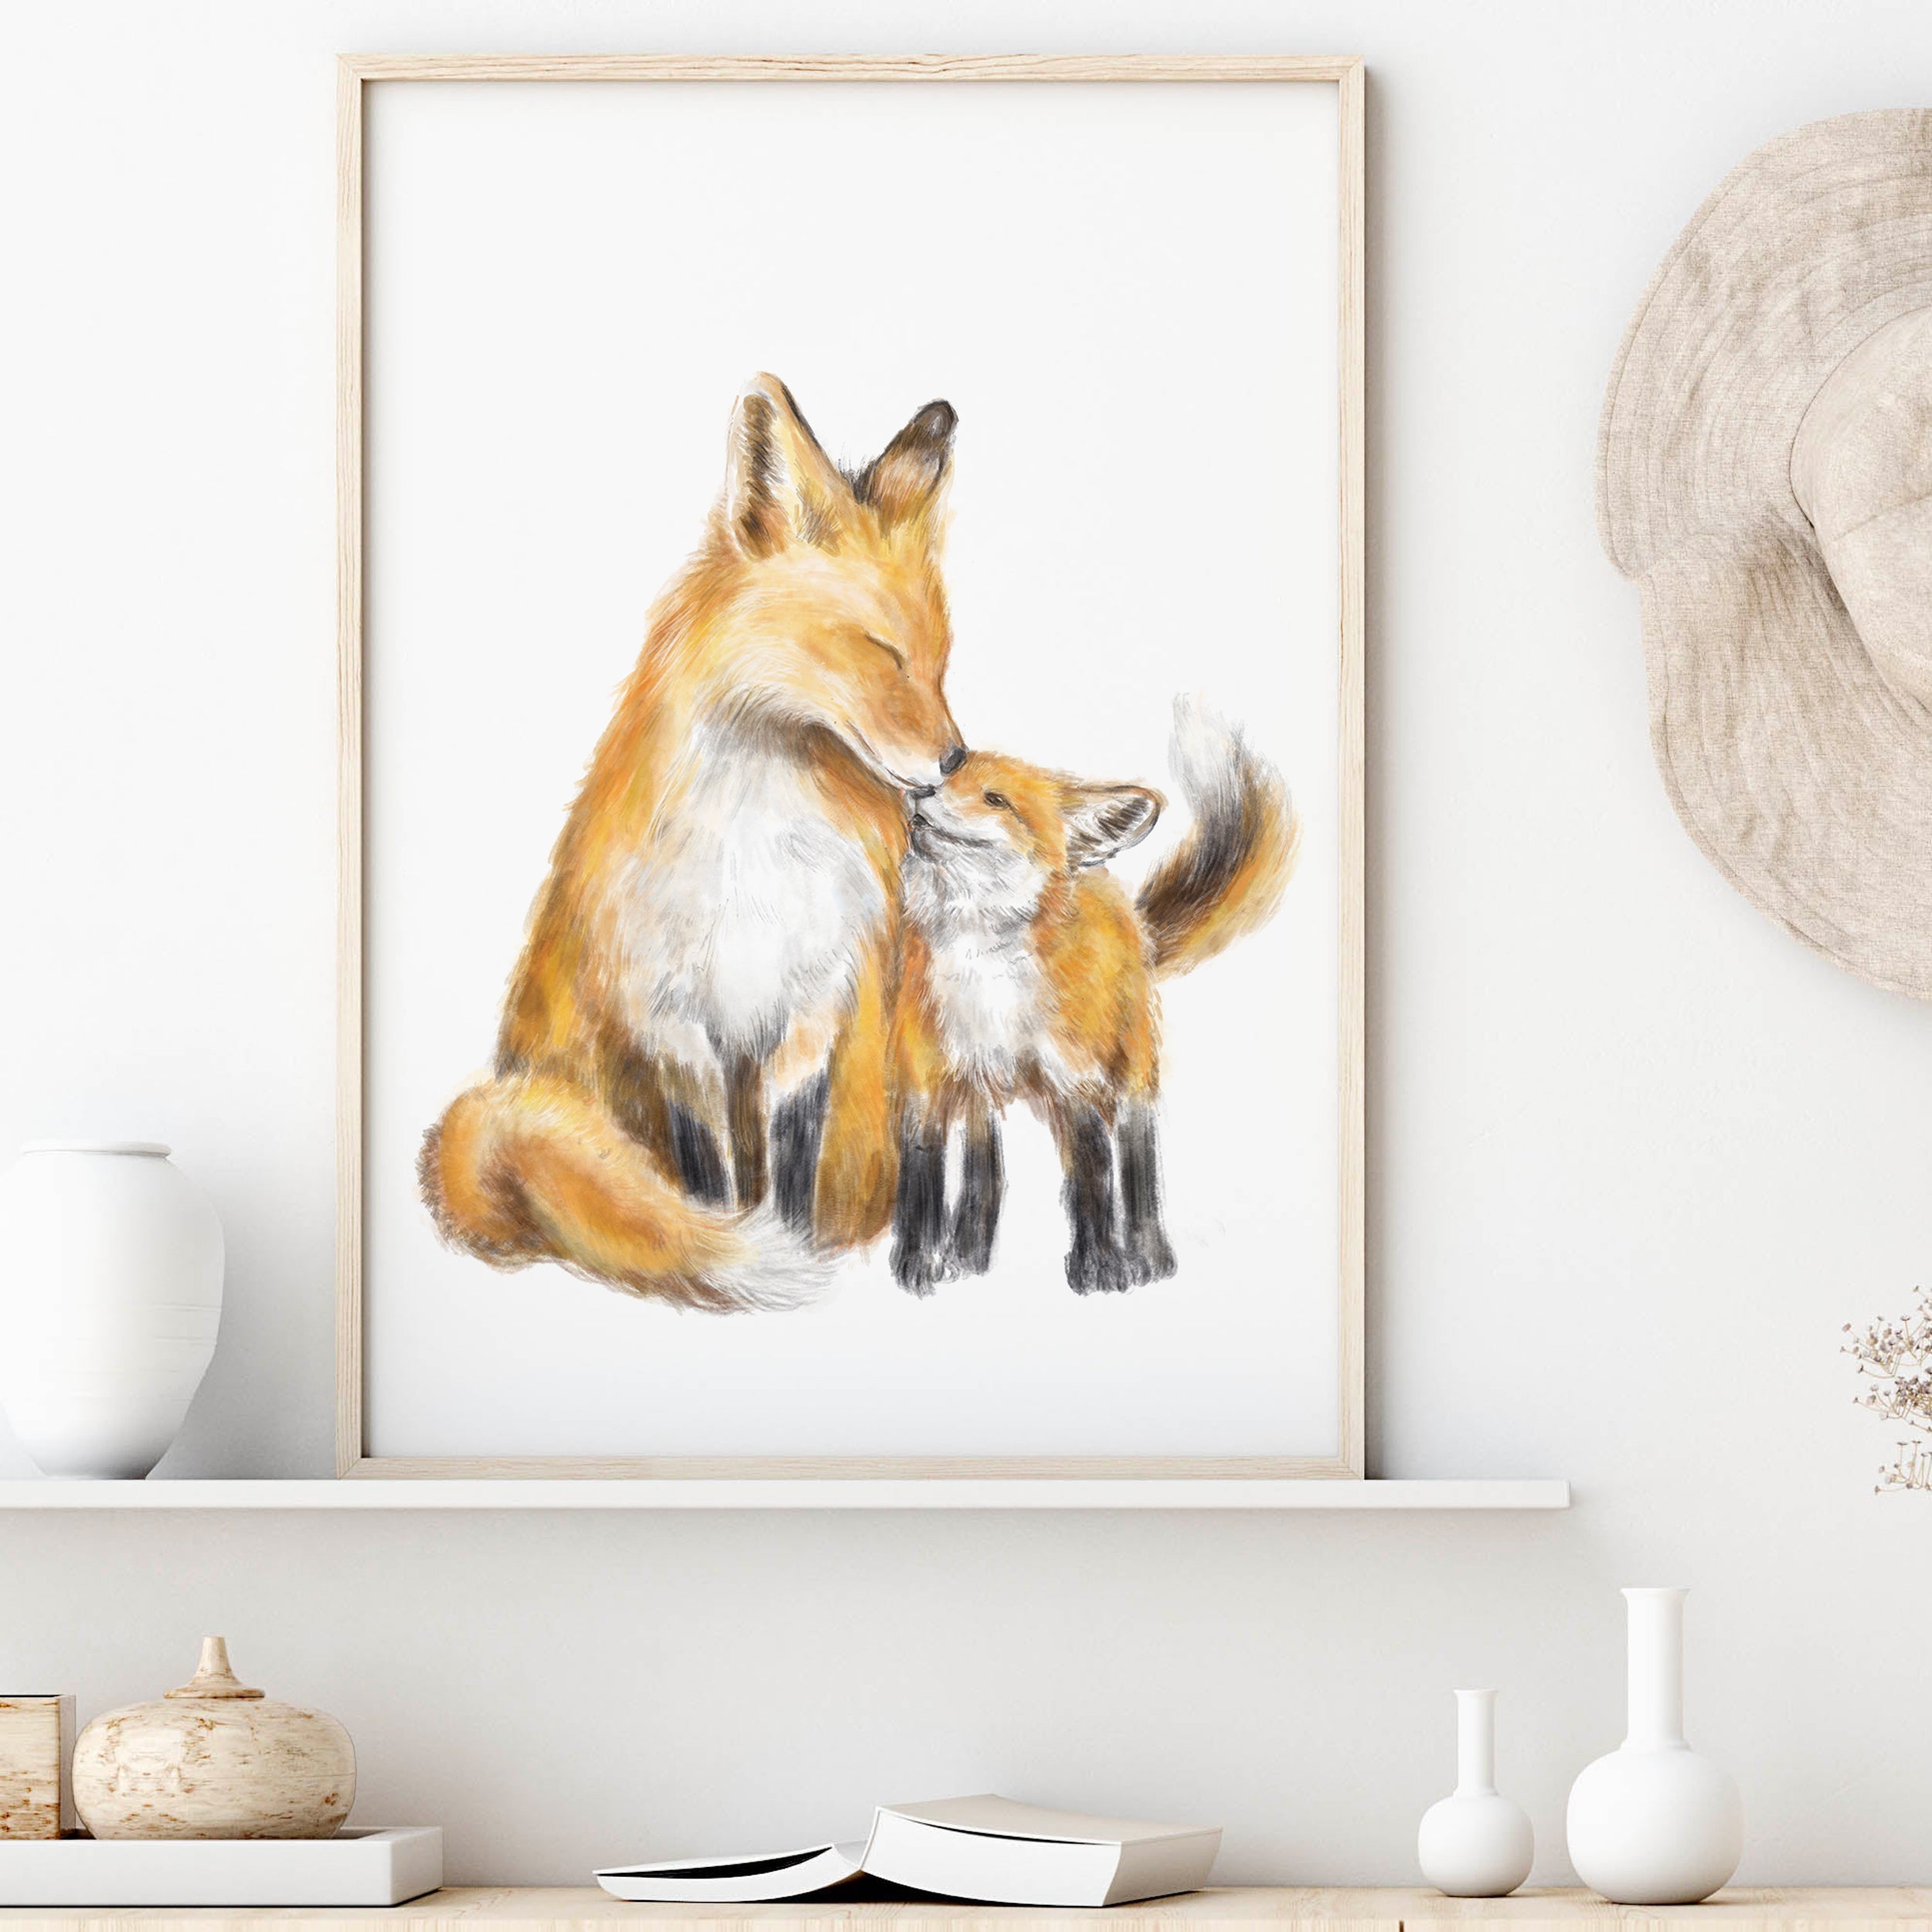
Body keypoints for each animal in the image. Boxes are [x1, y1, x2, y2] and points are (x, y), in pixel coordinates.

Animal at [420, 376, 968, 1311]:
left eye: (940, 659)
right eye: (881, 651)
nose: (955, 760)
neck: (756, 850)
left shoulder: (810, 1012)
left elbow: (790, 1166)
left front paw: (799, 1247)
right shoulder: (673, 1026)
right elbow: (708, 1180)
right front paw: (740, 1250)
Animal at [888, 700, 1299, 1295]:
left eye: (996, 800)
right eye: (946, 780)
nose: (920, 789)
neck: (983, 966)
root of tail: (1125, 906)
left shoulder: (1073, 1081)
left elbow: (1092, 1184)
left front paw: (1100, 1269)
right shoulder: (925, 1084)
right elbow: (921, 1187)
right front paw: (918, 1266)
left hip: (1130, 1079)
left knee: (1135, 1164)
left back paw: (1151, 1257)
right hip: (981, 1096)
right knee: (985, 1175)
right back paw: (970, 1256)